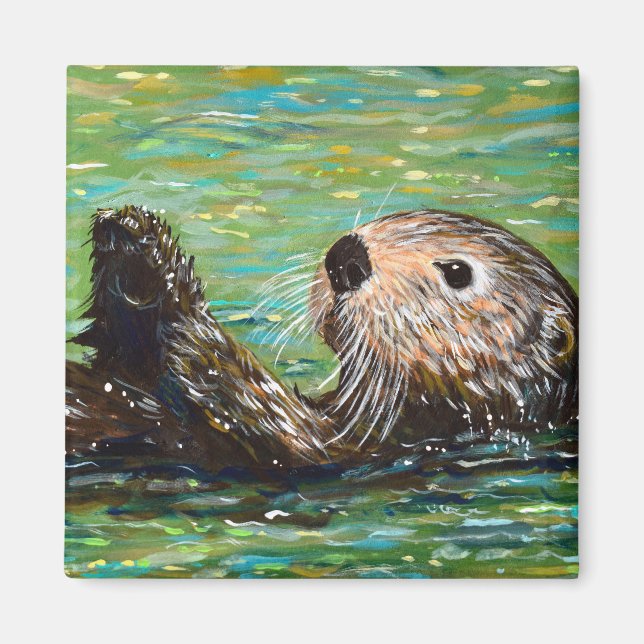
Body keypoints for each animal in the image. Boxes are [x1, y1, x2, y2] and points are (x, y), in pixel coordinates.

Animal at [66, 206, 577, 469]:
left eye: (457, 272)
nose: (346, 256)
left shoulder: (339, 451)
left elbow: (262, 417)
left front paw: (171, 283)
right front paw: (130, 236)